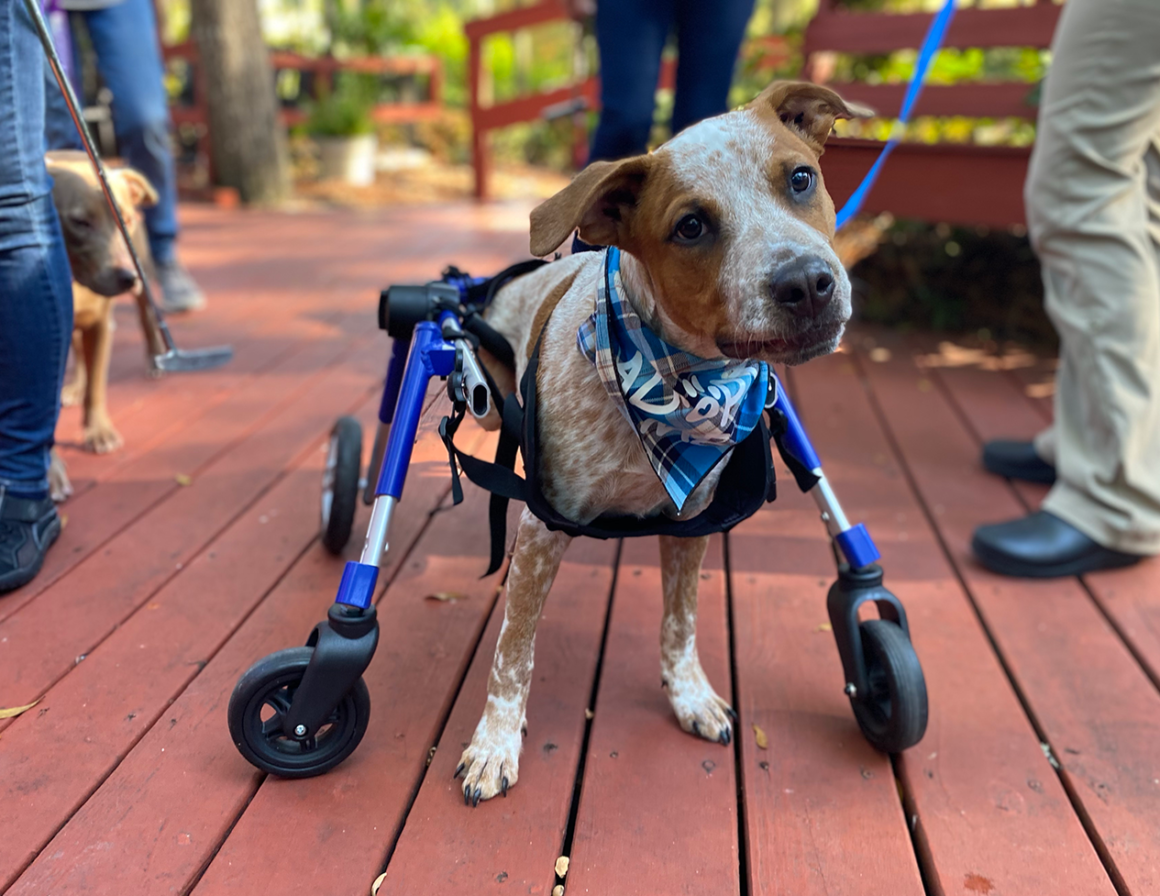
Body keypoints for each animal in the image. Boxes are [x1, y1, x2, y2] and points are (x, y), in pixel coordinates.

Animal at [457, 80, 867, 803]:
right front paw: (494, 744)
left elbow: (681, 625)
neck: (672, 386)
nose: (808, 283)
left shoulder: (691, 522)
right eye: (691, 226)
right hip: (483, 401)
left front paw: (690, 697)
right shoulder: (540, 529)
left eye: (800, 178)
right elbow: (513, 654)